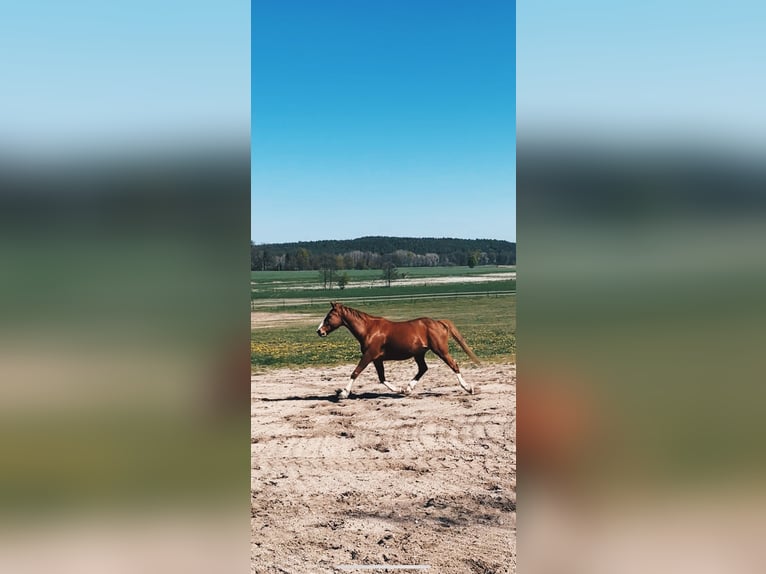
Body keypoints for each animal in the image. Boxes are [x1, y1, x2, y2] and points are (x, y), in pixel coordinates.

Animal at [318, 302, 480, 400]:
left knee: (453, 365)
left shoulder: (369, 355)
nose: (319, 331)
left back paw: (468, 388)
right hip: (419, 354)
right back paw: (408, 388)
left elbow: (355, 372)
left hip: (440, 351)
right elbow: (382, 378)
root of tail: (439, 323)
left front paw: (343, 393)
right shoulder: (377, 359)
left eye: (329, 316)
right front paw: (400, 390)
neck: (369, 330)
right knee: (423, 368)